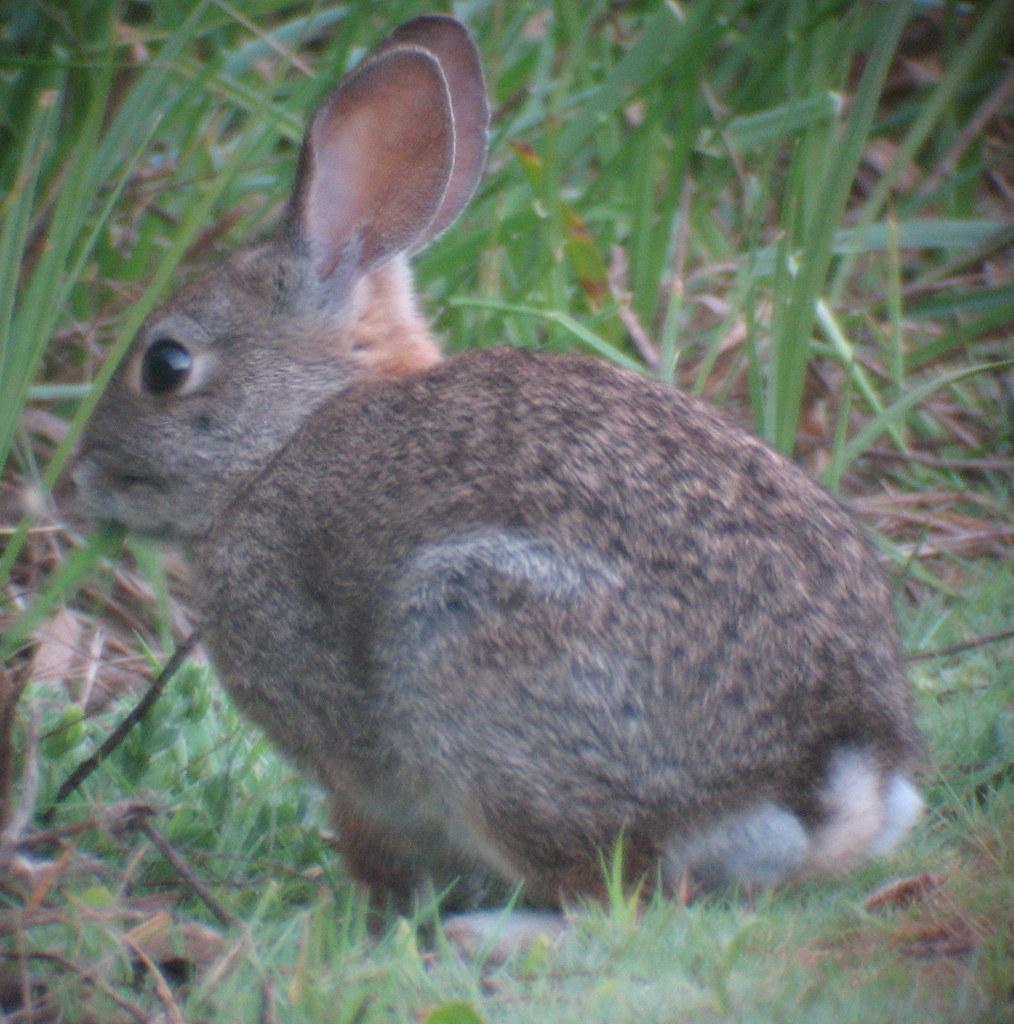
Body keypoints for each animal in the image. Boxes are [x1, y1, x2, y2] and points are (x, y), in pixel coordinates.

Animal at [73, 15, 924, 929]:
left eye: (165, 366)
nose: (80, 478)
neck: (290, 435)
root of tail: (832, 765)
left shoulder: (355, 763)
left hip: (476, 652)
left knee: (615, 900)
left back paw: (490, 935)